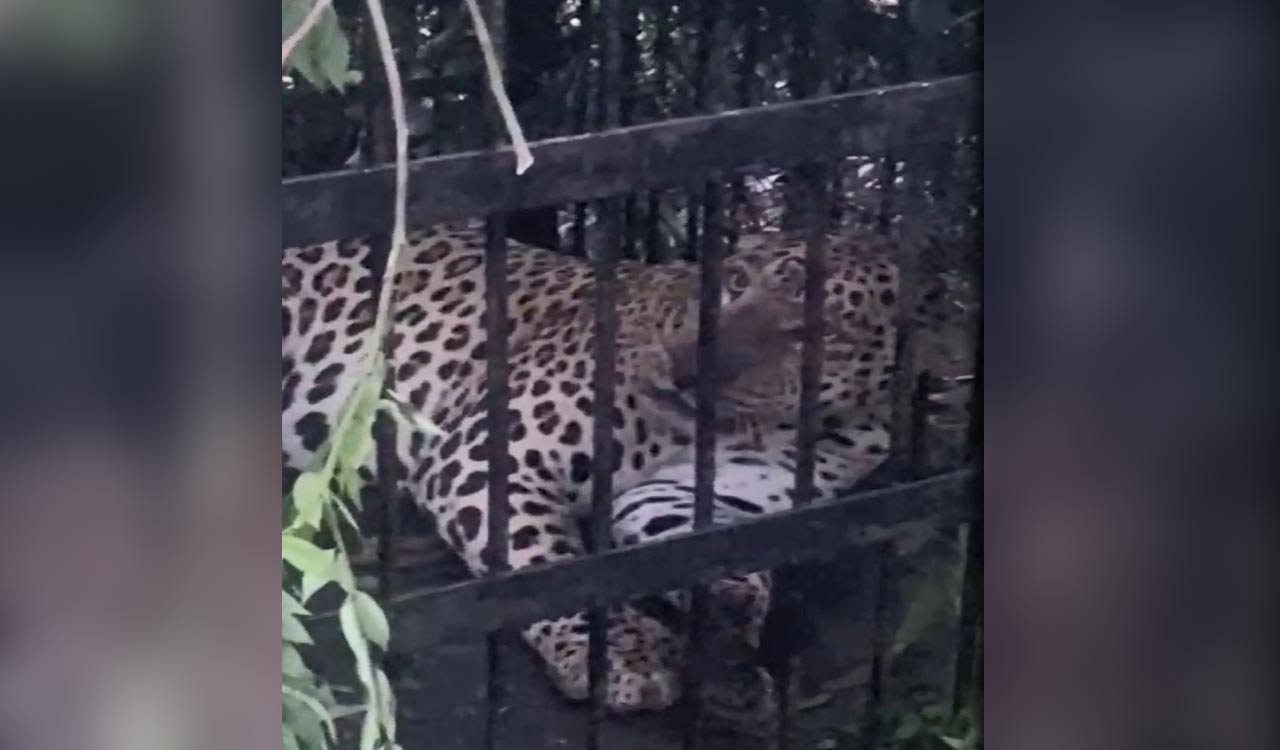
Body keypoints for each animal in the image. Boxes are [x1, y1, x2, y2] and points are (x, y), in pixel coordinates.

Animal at [282, 219, 927, 716]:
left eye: (811, 331)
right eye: (736, 283)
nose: (684, 369)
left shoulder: (695, 490)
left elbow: (698, 548)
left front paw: (727, 637)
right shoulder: (491, 449)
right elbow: (547, 569)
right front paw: (622, 657)